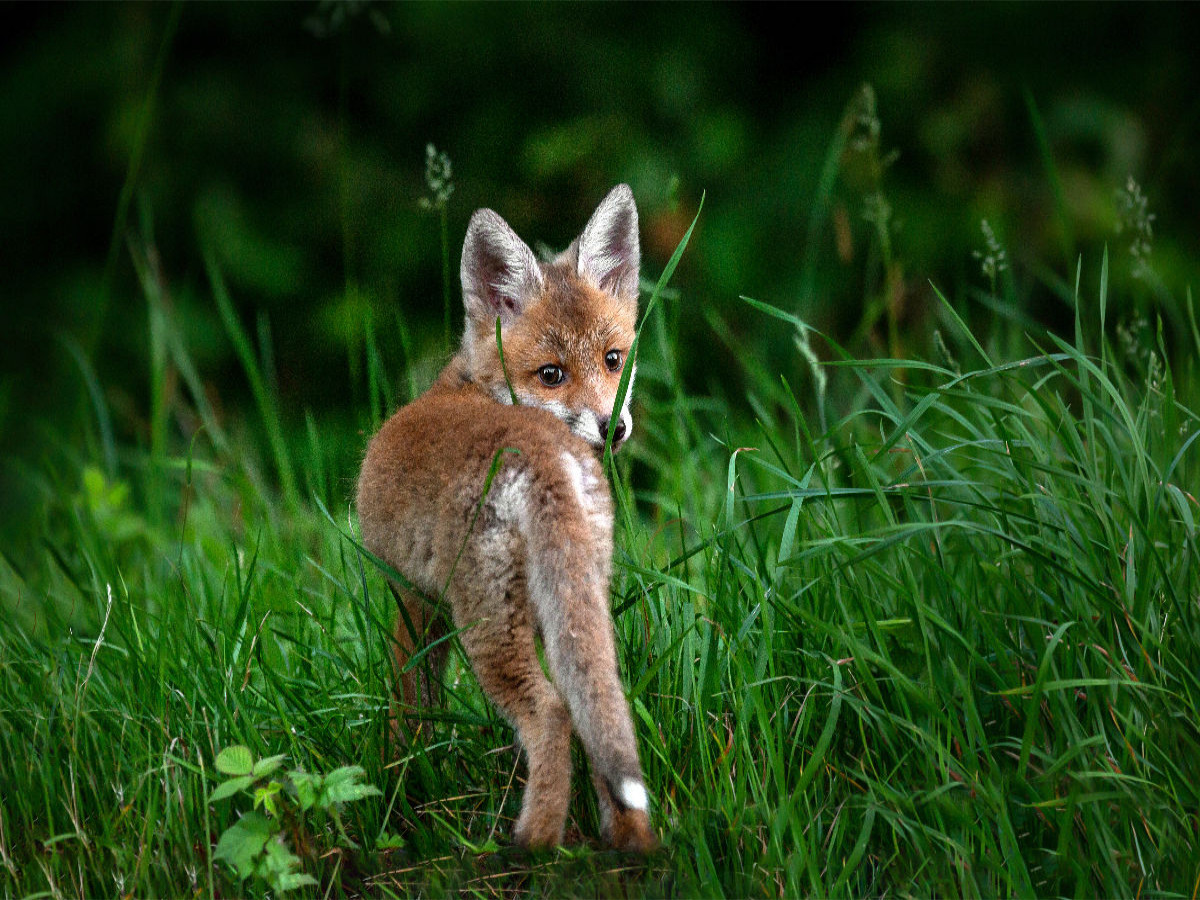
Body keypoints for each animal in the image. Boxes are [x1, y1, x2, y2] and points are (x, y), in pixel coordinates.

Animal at [355, 188, 657, 854]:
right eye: (552, 374)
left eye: (612, 360)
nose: (612, 427)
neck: (471, 384)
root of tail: (541, 453)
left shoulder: (415, 600)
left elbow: (408, 705)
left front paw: (397, 785)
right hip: (575, 606)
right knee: (598, 710)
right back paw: (630, 843)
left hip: (487, 624)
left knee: (552, 714)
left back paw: (533, 845)